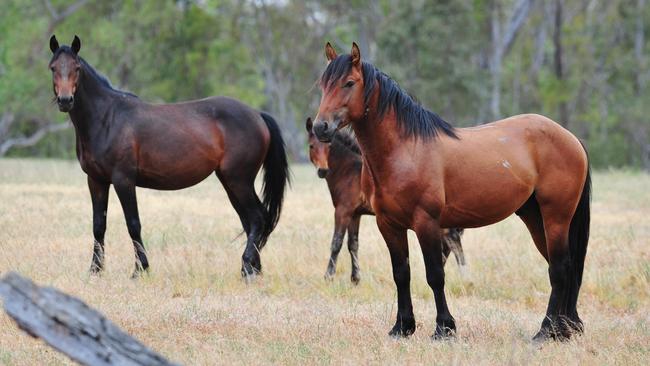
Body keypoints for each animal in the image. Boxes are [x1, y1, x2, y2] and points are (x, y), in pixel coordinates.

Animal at [306, 118, 466, 284]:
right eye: (311, 146)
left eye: (329, 146)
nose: (322, 171)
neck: (348, 171)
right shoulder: (355, 214)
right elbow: (353, 244)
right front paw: (355, 278)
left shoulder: (342, 211)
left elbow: (336, 243)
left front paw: (328, 277)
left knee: (452, 240)